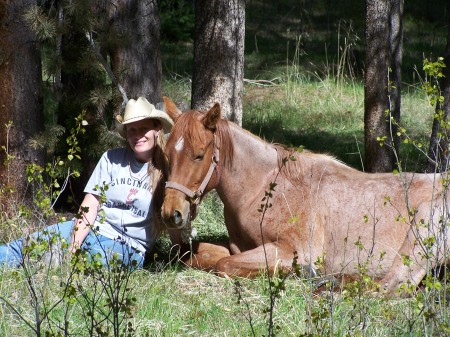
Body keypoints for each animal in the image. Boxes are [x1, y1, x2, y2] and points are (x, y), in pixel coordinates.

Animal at [160, 95, 448, 294]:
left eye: (199, 155)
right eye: (167, 155)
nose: (171, 213)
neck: (266, 190)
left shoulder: (290, 250)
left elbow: (225, 265)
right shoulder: (238, 247)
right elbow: (196, 257)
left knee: (393, 285)